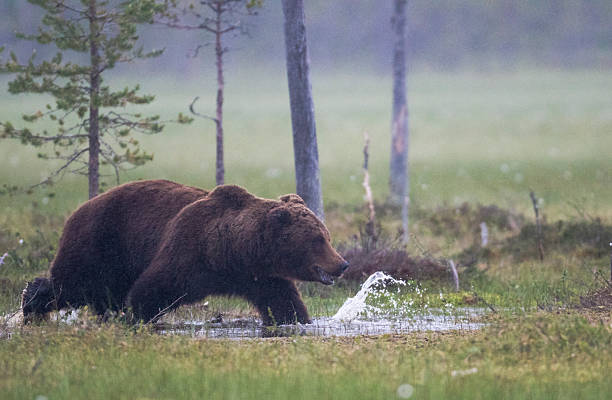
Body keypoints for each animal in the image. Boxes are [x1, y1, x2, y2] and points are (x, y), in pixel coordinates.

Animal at [20, 180, 350, 324]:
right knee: (74, 283)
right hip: (102, 241)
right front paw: (137, 316)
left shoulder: (258, 276)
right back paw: (30, 303)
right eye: (318, 240)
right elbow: (153, 288)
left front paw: (297, 320)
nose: (343, 263)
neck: (231, 251)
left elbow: (281, 301)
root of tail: (78, 209)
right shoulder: (189, 251)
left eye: (326, 236)